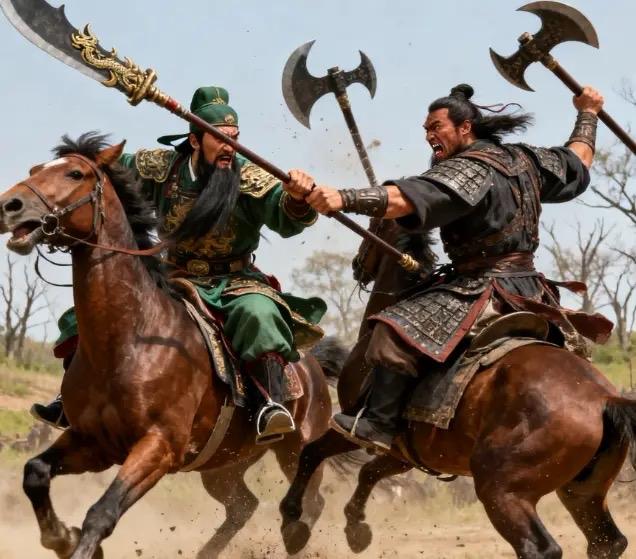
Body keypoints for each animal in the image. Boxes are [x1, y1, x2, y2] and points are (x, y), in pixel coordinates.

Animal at [0, 133, 335, 559]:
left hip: (298, 450)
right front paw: (61, 536)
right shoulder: (91, 443)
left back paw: (296, 529)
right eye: (35, 171)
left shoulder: (159, 447)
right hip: (226, 463)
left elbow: (101, 513)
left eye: (75, 173)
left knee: (310, 500)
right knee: (243, 505)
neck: (129, 342)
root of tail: (313, 366)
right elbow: (35, 473)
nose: (9, 206)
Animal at [279, 221, 636, 558]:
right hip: (582, 493)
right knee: (607, 542)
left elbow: (312, 453)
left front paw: (293, 521)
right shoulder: (404, 453)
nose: (357, 264)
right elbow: (368, 472)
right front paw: (356, 528)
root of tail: (604, 399)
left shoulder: (354, 425)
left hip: (501, 491)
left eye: (376, 227)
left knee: (540, 547)